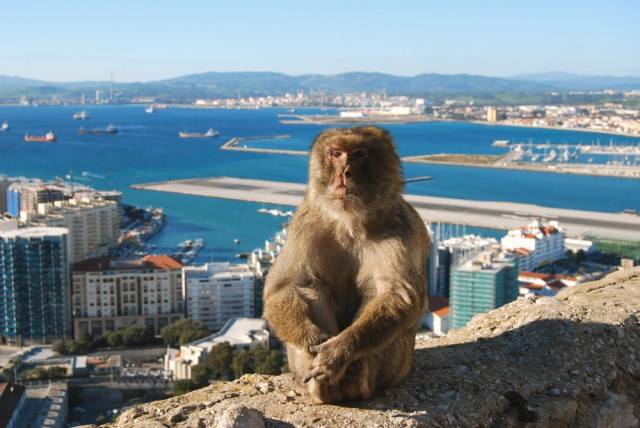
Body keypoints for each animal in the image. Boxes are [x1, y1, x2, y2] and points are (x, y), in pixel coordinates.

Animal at [260, 124, 430, 404]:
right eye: (336, 153)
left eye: (359, 153)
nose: (344, 172)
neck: (349, 220)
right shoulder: (304, 224)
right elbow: (284, 287)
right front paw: (311, 341)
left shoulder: (400, 226)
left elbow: (397, 295)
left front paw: (338, 352)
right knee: (313, 286)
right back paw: (323, 388)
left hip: (397, 368)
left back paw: (353, 378)